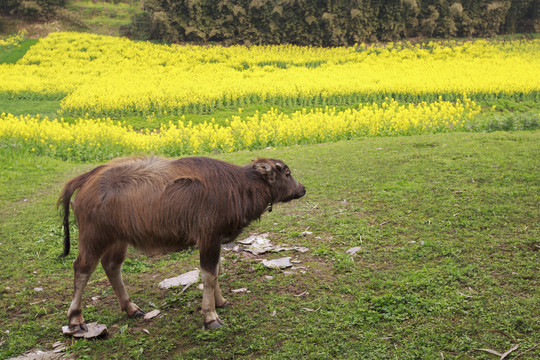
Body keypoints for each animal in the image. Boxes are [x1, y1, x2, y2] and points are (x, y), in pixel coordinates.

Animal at [58, 156, 308, 330]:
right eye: (287, 173)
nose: (302, 188)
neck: (238, 186)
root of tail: (89, 176)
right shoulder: (208, 239)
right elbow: (208, 276)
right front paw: (210, 316)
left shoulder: (215, 241)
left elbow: (217, 271)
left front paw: (220, 301)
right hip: (92, 237)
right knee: (82, 270)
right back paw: (75, 319)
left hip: (118, 238)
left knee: (112, 266)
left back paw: (131, 308)